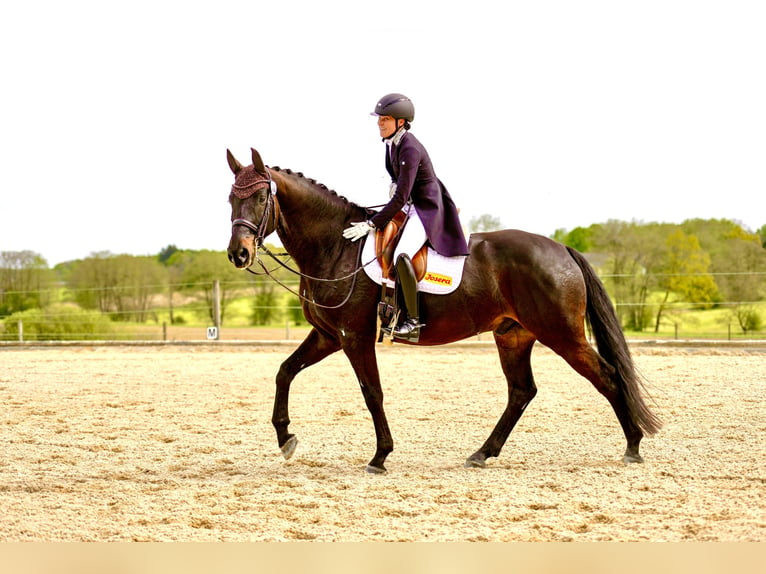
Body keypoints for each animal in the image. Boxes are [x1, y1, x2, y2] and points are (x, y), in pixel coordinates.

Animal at [225, 150, 664, 476]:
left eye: (261, 198)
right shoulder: (329, 335)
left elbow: (371, 392)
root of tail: (561, 249)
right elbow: (285, 371)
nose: (238, 254)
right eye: (231, 198)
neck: (335, 246)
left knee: (607, 376)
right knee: (522, 391)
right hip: (513, 335)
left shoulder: (354, 336)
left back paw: (633, 446)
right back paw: (482, 454)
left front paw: (380, 456)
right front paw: (285, 439)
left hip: (562, 334)